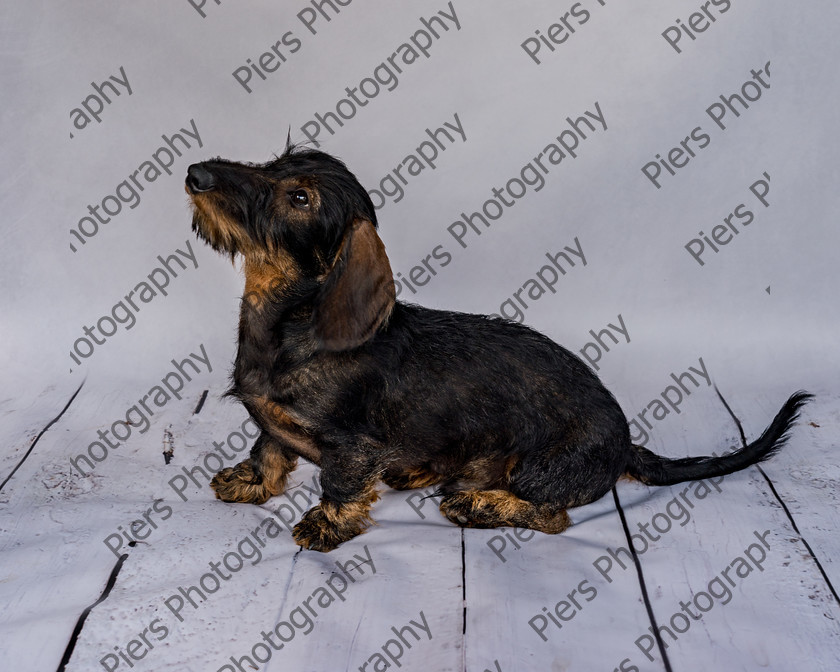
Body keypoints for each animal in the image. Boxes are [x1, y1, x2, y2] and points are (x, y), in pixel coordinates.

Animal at [185, 146, 812, 552]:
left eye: (299, 197)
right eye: (275, 163)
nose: (195, 173)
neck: (286, 323)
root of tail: (625, 443)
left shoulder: (352, 447)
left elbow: (339, 484)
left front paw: (326, 523)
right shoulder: (272, 426)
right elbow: (268, 448)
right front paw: (251, 481)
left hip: (540, 468)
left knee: (552, 515)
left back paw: (481, 503)